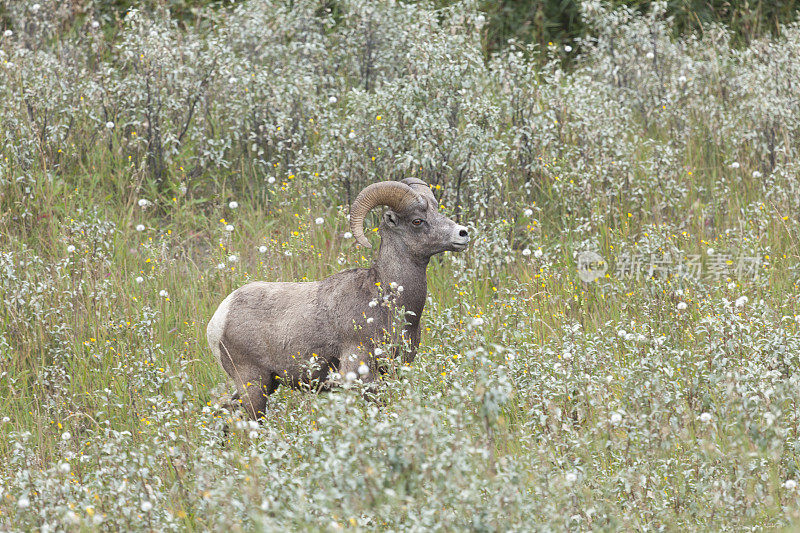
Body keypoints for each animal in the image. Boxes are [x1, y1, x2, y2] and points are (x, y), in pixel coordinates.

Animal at [206, 179, 468, 420]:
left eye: (437, 211)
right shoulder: (361, 371)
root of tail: (219, 318)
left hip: (265, 385)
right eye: (417, 221)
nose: (463, 233)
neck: (386, 302)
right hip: (253, 385)